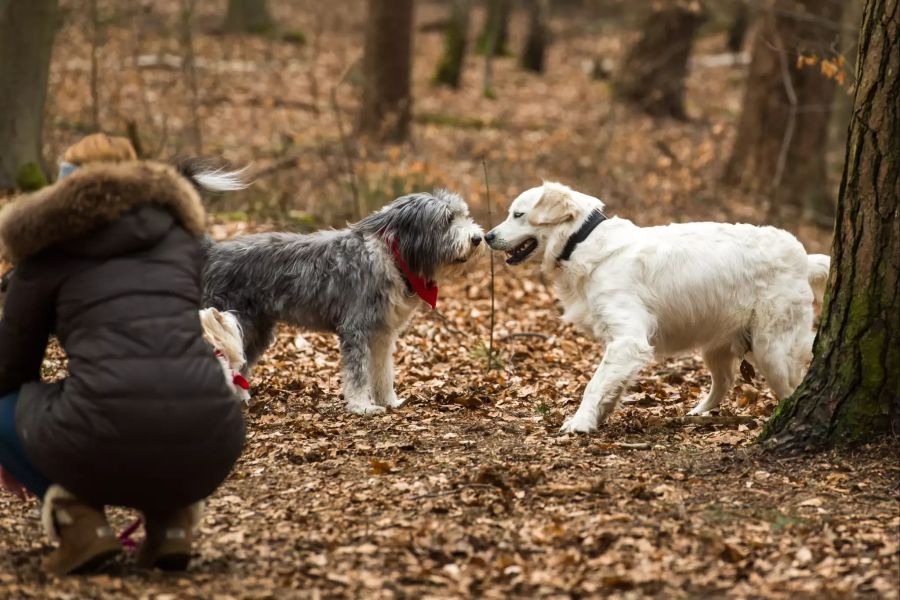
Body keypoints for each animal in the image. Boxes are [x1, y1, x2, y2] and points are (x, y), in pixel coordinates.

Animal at [204, 190, 486, 414]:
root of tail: (212, 253)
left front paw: (388, 401)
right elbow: (358, 373)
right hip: (229, 321)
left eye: (463, 215)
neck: (394, 257)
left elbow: (383, 371)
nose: (477, 239)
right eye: (447, 219)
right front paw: (362, 406)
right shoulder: (356, 328)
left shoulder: (382, 334)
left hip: (254, 331)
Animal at [486, 180, 828, 434]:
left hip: (772, 349)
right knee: (725, 381)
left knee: (793, 381)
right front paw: (598, 418)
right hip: (719, 344)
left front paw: (580, 422)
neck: (582, 241)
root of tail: (803, 257)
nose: (487, 236)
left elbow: (594, 384)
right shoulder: (620, 343)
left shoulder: (628, 340)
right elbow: (611, 386)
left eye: (518, 214)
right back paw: (697, 414)